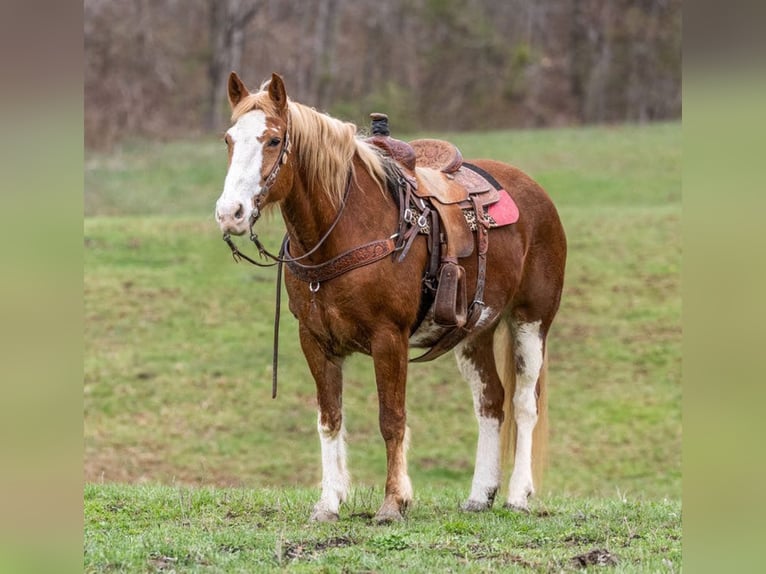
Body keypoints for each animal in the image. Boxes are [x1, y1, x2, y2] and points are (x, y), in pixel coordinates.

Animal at [214, 72, 566, 523]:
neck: (346, 229)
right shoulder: (314, 341)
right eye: (229, 138)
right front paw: (329, 502)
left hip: (531, 320)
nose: (231, 213)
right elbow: (330, 418)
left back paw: (519, 495)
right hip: (474, 333)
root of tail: (536, 193)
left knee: (524, 403)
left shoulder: (389, 338)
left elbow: (391, 419)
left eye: (274, 140)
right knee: (491, 402)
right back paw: (480, 494)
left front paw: (393, 502)